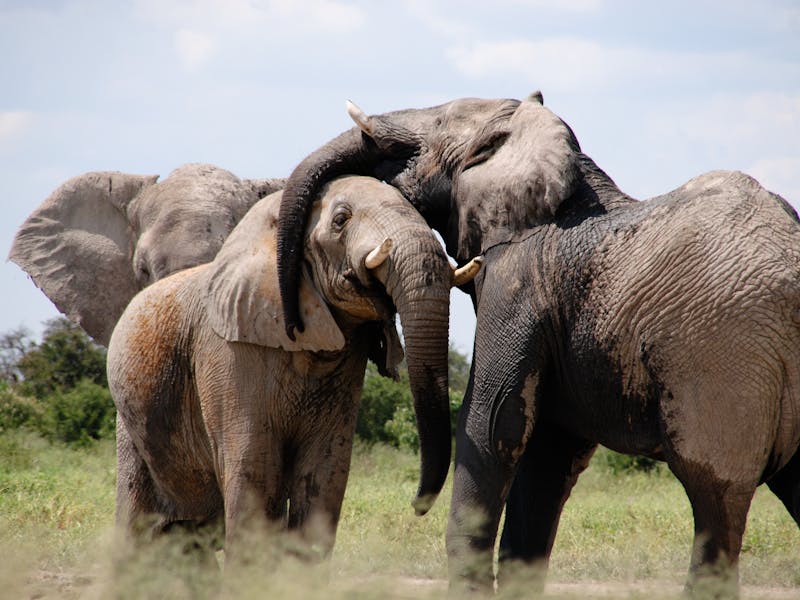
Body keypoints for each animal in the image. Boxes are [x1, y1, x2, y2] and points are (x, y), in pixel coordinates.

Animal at [106, 176, 482, 560]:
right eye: (341, 220)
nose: (416, 506)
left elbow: (325, 473)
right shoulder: (228, 353)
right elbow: (253, 471)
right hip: (130, 422)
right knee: (137, 524)